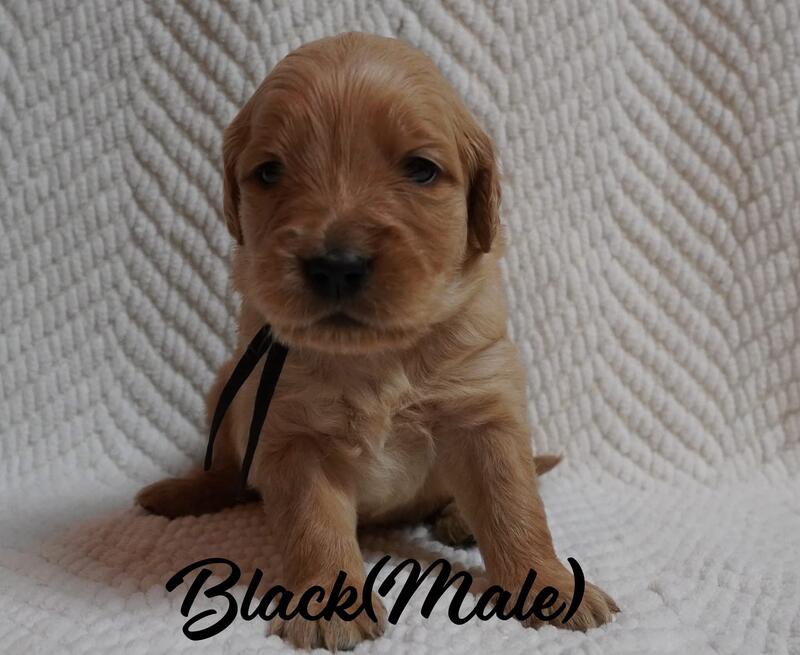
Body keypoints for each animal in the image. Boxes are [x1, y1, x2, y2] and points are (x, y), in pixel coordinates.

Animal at [137, 32, 618, 649]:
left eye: (421, 169)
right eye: (269, 172)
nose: (336, 265)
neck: (376, 358)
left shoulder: (486, 408)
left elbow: (514, 505)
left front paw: (550, 586)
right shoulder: (290, 433)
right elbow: (314, 523)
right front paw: (326, 605)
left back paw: (457, 518)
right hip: (227, 385)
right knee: (226, 471)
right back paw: (180, 492)